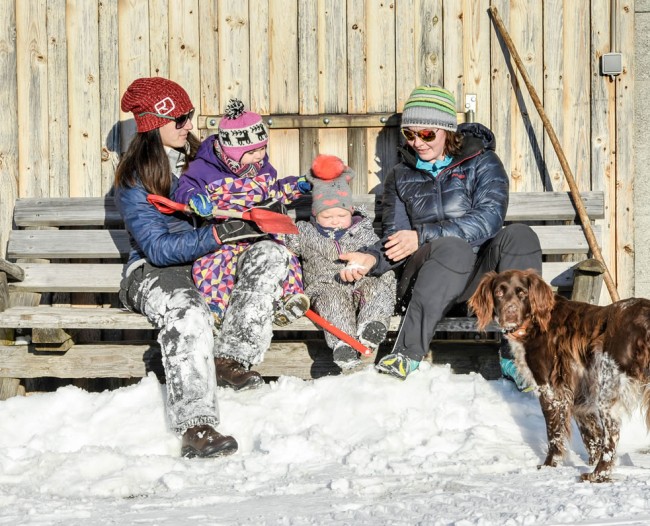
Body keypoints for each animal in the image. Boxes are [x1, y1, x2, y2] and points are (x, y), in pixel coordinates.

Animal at [466, 270, 648, 484]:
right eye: (499, 293)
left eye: (522, 292)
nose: (510, 312)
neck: (534, 323)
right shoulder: (579, 395)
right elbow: (590, 436)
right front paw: (588, 461)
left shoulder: (550, 390)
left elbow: (554, 433)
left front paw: (550, 465)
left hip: (608, 390)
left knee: (612, 437)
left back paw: (597, 475)